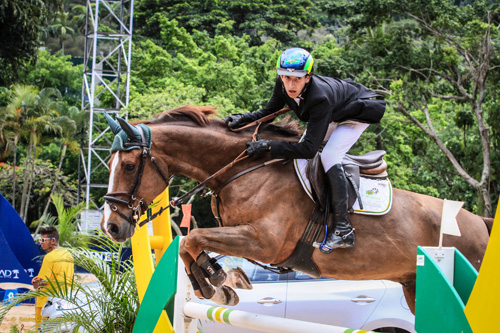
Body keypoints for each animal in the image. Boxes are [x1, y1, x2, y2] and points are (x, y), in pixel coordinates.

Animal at [101, 105, 492, 312]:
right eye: (109, 163)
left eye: (130, 166)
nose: (111, 227)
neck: (244, 168)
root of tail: (481, 223)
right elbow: (189, 243)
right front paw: (218, 282)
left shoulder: (265, 241)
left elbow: (193, 239)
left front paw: (217, 282)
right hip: (412, 285)